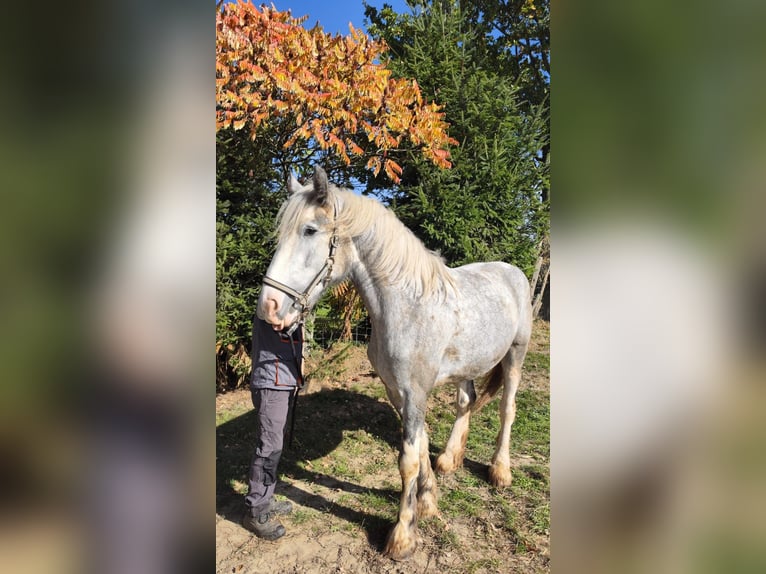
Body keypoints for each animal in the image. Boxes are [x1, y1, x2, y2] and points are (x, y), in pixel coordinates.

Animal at [257, 166, 532, 560]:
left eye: (309, 230)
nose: (269, 308)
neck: (406, 305)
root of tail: (513, 272)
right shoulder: (398, 391)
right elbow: (421, 447)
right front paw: (428, 503)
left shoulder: (415, 392)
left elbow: (408, 461)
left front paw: (402, 536)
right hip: (465, 366)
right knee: (466, 401)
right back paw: (450, 459)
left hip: (515, 356)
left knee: (507, 409)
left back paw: (500, 472)